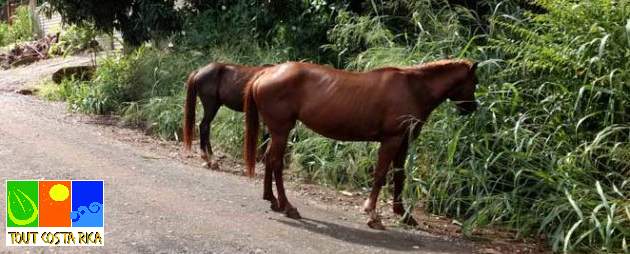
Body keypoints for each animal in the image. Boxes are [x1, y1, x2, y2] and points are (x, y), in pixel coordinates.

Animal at [243, 60, 478, 230]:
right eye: (475, 82)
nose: (472, 108)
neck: (413, 88)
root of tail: (265, 74)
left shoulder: (403, 142)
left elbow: (399, 176)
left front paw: (404, 214)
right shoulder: (391, 140)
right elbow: (380, 175)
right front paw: (373, 215)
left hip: (277, 132)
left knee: (269, 160)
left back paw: (272, 200)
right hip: (282, 130)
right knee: (276, 163)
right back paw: (287, 206)